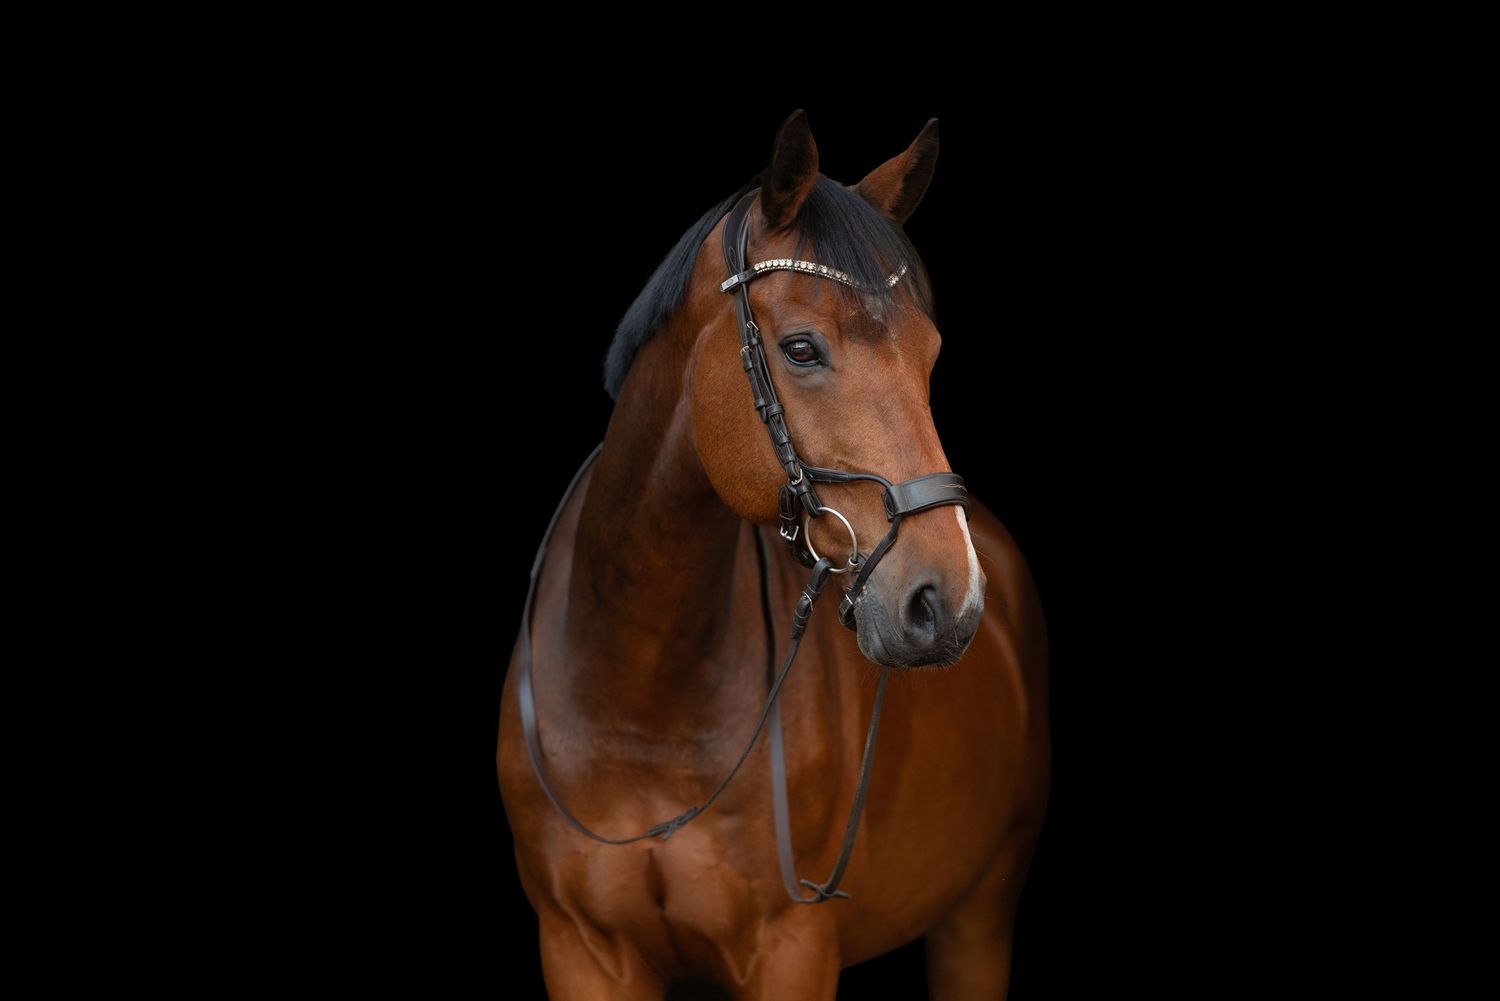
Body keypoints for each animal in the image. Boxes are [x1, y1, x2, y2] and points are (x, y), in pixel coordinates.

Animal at [498, 111, 1049, 999]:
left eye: (929, 352)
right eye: (799, 349)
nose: (947, 602)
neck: (638, 706)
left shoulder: (793, 950)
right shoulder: (578, 949)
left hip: (979, 916)